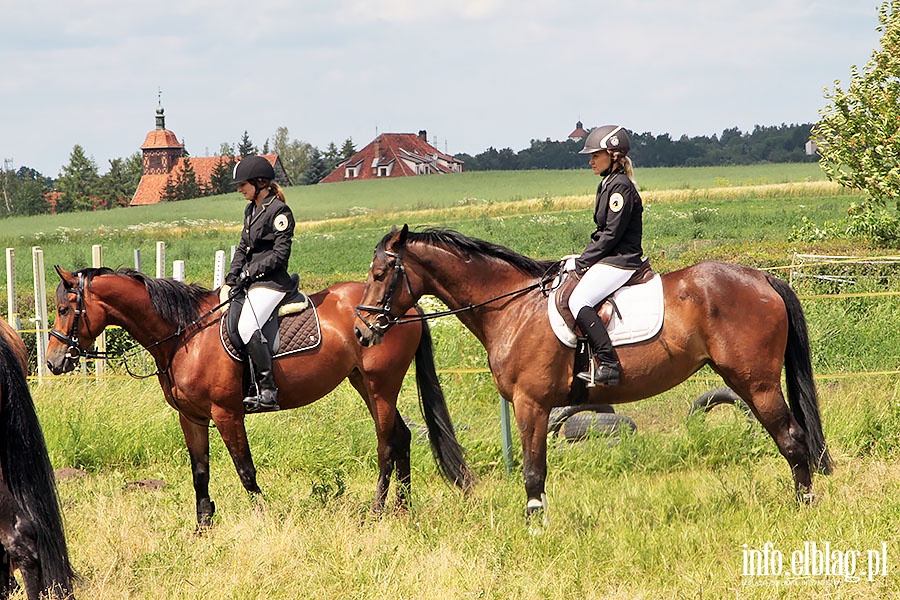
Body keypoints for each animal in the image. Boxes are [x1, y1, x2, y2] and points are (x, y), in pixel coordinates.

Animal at [46, 268, 474, 524]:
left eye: (66, 308)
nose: (52, 361)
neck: (185, 333)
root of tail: (405, 308)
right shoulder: (192, 417)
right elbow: (199, 471)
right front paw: (202, 527)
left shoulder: (226, 413)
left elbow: (245, 469)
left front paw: (263, 519)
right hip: (364, 384)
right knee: (401, 437)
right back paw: (402, 510)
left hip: (381, 384)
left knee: (386, 443)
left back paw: (378, 510)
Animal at [356, 227, 832, 516]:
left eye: (380, 274)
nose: (362, 331)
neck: (512, 306)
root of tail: (763, 278)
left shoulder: (532, 405)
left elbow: (533, 471)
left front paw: (536, 528)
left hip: (757, 383)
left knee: (792, 439)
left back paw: (804, 508)